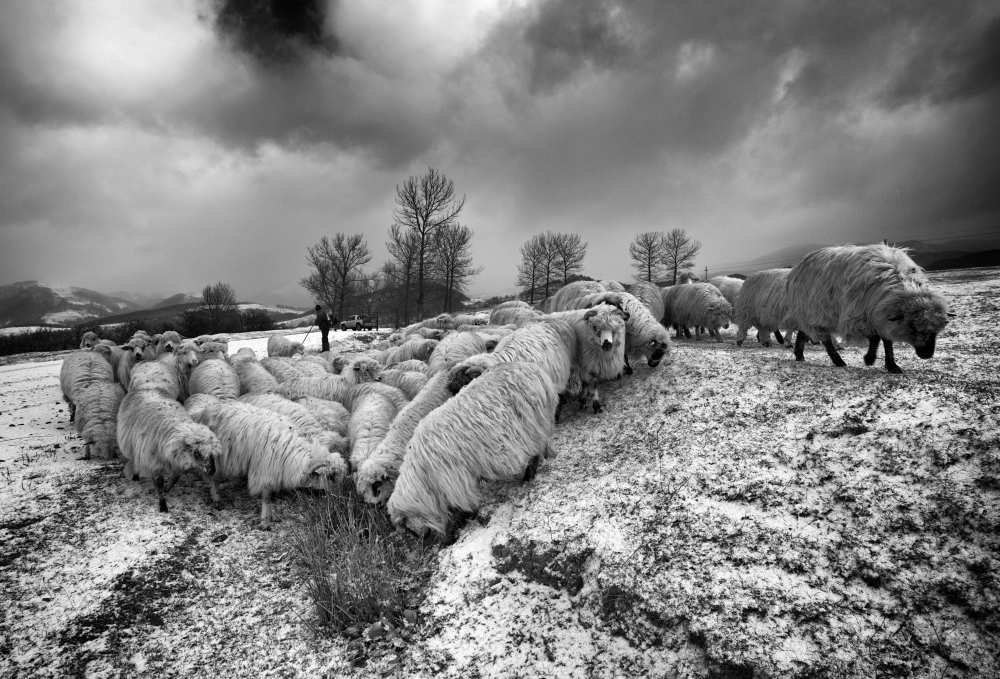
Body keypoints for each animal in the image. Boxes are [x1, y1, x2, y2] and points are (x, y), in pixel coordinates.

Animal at [188, 397, 347, 526]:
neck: (293, 450)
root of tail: (204, 411)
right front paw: (265, 520)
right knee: (211, 477)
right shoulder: (264, 470)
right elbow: (266, 497)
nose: (340, 498)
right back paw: (216, 497)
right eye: (331, 477)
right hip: (216, 458)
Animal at [387, 361, 558, 538]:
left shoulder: (457, 481)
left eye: (407, 526)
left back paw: (528, 476)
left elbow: (463, 505)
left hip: (531, 424)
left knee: (536, 450)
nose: (424, 537)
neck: (423, 474)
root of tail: (532, 369)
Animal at [783, 244, 950, 373]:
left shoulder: (881, 315)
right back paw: (838, 361)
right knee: (825, 340)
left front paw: (891, 365)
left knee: (804, 332)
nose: (927, 355)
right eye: (913, 327)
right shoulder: (861, 315)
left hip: (809, 312)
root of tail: (797, 269)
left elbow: (886, 340)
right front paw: (869, 359)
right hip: (817, 311)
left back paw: (799, 355)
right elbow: (876, 338)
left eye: (936, 332)